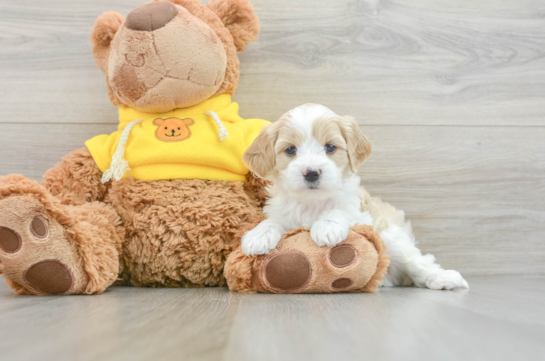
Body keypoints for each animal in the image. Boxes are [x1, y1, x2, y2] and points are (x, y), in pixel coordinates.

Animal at [241, 104, 468, 290]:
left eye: (330, 147)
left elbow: (341, 210)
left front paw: (327, 226)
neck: (313, 203)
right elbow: (274, 220)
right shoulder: (284, 213)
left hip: (391, 237)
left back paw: (443, 278)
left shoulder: (362, 216)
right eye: (290, 150)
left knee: (418, 263)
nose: (312, 172)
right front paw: (258, 235)